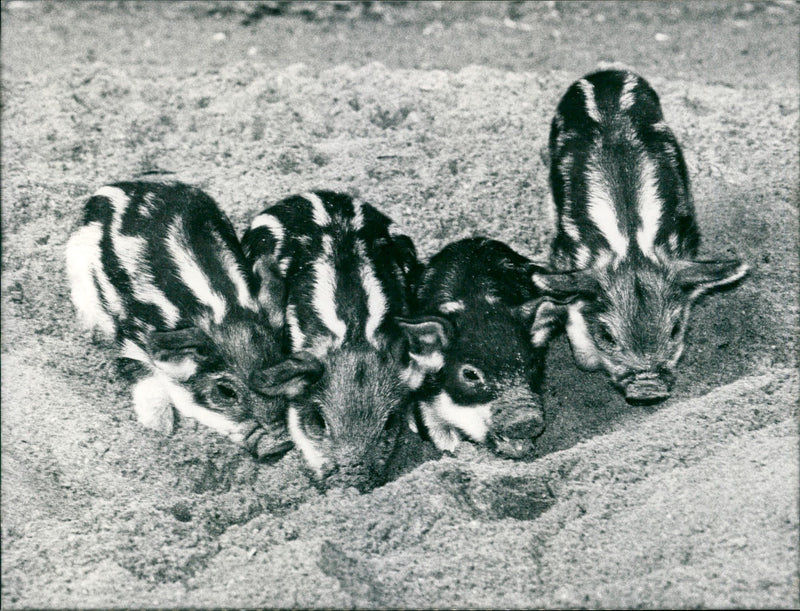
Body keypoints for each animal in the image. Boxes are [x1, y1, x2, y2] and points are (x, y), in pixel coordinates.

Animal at [65, 181, 322, 458]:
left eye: (278, 371)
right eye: (225, 391)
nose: (279, 444)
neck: (223, 309)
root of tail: (116, 187)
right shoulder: (133, 337)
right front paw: (161, 430)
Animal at [396, 237, 548, 458]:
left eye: (533, 365)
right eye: (470, 374)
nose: (526, 419)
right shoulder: (426, 395)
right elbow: (438, 433)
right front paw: (451, 451)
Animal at [531, 70, 748, 404]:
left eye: (675, 329)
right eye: (607, 335)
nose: (648, 387)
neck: (631, 245)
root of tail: (606, 73)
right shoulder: (566, 252)